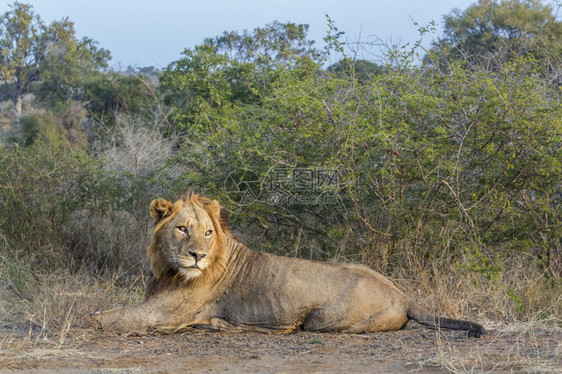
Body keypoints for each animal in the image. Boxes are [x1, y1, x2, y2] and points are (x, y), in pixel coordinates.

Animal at [86, 188, 482, 338]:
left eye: (208, 233)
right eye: (183, 229)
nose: (197, 255)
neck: (168, 269)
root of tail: (403, 294)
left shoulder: (161, 314)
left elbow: (98, 318)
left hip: (321, 320)